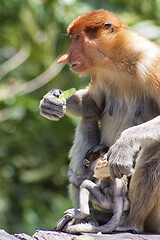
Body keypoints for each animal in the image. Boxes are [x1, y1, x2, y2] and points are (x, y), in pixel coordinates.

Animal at [39, 9, 160, 232]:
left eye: (78, 37)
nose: (65, 57)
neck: (118, 60)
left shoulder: (152, 64)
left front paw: (123, 146)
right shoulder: (100, 73)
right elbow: (94, 104)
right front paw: (50, 102)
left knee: (155, 148)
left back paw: (129, 224)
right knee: (87, 121)